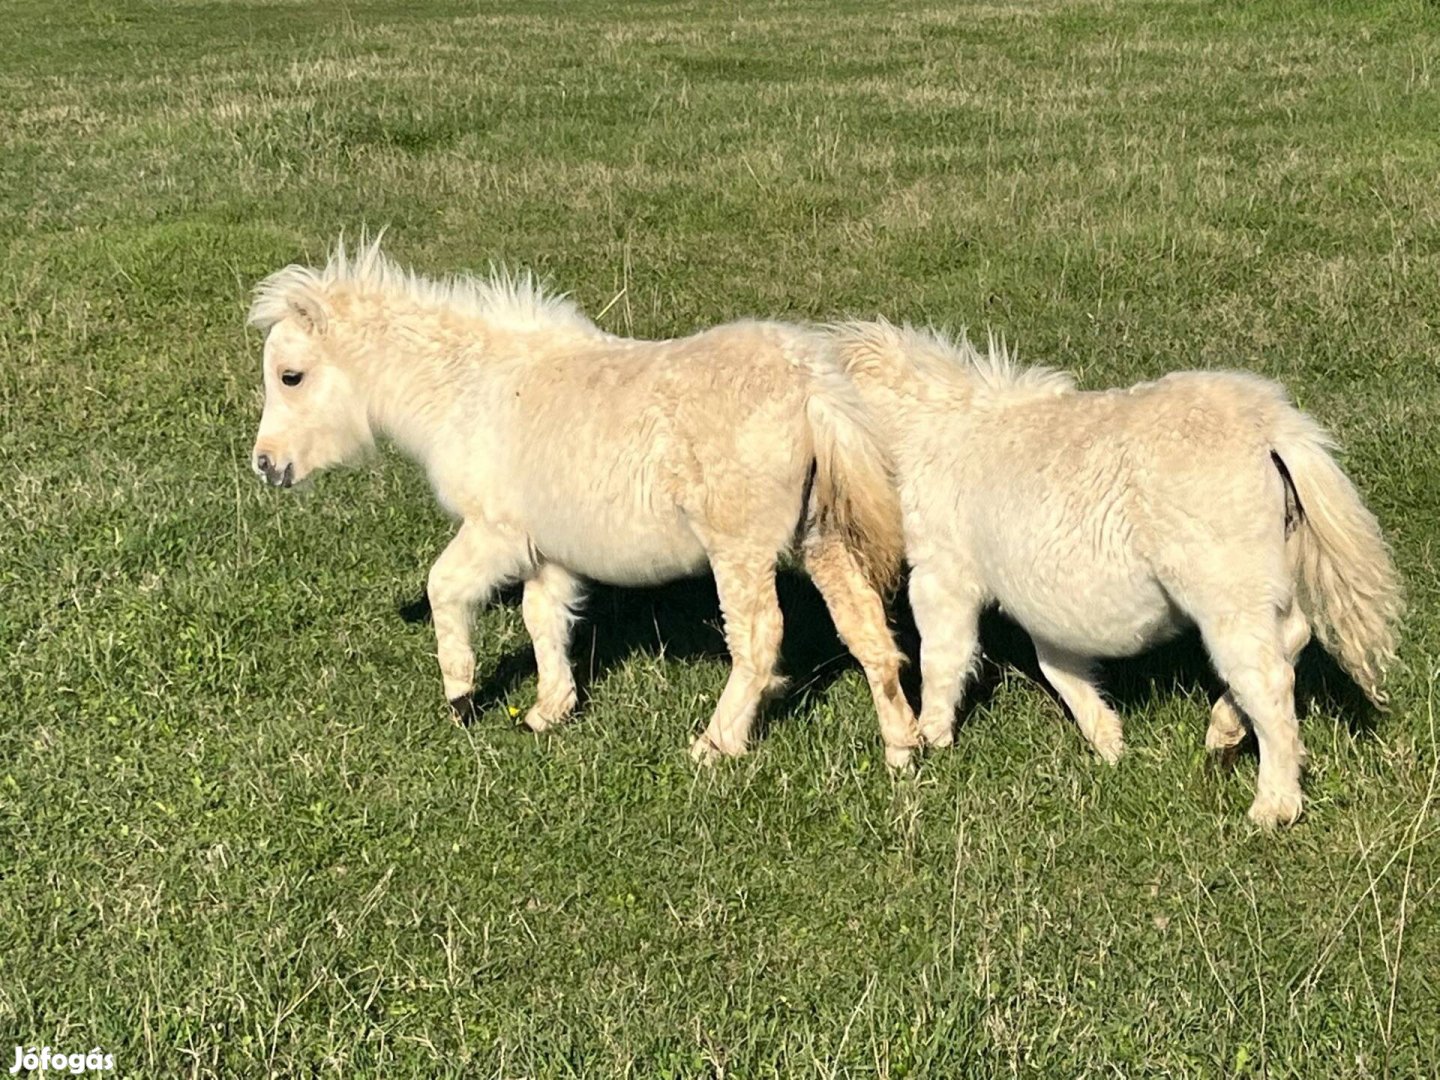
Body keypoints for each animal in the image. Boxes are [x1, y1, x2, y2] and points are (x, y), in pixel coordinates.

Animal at [244, 240, 921, 771]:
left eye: (291, 377)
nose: (266, 465)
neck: (472, 390)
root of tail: (813, 386)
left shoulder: (495, 530)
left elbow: (444, 587)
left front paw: (461, 697)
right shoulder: (547, 549)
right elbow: (543, 619)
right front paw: (549, 710)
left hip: (739, 547)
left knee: (758, 639)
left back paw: (714, 745)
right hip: (822, 536)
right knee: (867, 628)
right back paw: (902, 748)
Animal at [829, 321, 1399, 829]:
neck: (930, 433)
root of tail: (1269, 424)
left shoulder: (943, 575)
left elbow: (942, 661)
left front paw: (930, 741)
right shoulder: (1042, 593)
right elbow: (1059, 668)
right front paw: (1109, 743)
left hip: (1228, 597)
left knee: (1269, 681)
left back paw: (1273, 806)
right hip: (1259, 585)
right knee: (1292, 638)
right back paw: (1224, 733)